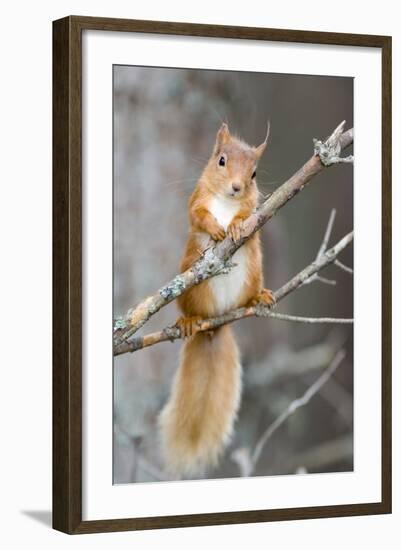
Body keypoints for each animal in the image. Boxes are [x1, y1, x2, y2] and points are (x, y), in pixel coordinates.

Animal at [158, 123, 274, 476]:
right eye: (221, 160)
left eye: (254, 173)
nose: (236, 187)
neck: (225, 201)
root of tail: (216, 323)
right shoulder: (196, 199)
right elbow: (196, 215)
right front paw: (216, 227)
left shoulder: (255, 210)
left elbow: (248, 217)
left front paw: (234, 225)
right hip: (191, 288)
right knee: (190, 310)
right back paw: (188, 321)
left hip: (253, 272)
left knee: (249, 296)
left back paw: (259, 298)